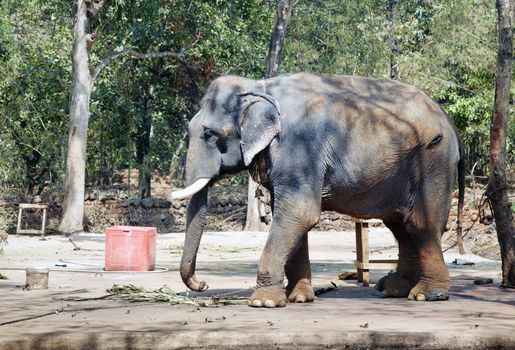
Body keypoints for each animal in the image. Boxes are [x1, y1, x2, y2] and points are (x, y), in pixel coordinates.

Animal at [171, 72, 466, 308]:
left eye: (209, 134)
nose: (203, 284)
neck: (258, 86)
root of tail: (449, 120)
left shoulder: (299, 148)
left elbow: (299, 213)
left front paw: (264, 303)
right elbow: (291, 215)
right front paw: (299, 298)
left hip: (433, 161)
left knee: (421, 224)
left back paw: (426, 295)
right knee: (400, 224)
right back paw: (394, 289)